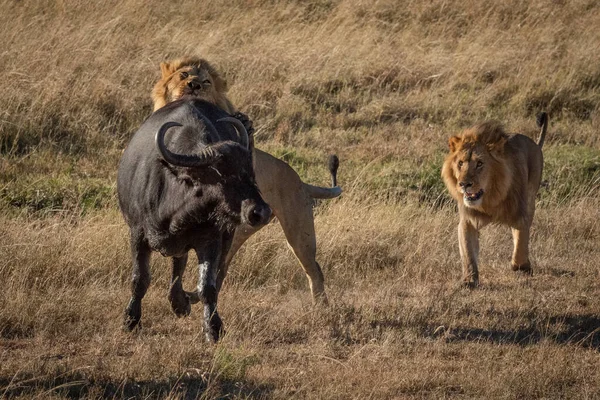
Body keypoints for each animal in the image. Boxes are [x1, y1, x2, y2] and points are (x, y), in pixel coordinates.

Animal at [118, 98, 272, 342]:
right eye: (223, 175)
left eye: (250, 173)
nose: (261, 212)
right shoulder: (137, 233)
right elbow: (140, 279)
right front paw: (131, 319)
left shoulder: (211, 238)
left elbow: (207, 286)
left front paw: (213, 328)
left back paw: (180, 303)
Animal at [151, 57, 342, 306]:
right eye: (183, 75)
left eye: (206, 82)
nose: (194, 85)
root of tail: (300, 181)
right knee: (221, 270)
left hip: (299, 231)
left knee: (314, 269)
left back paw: (321, 308)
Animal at [440, 114, 548, 286]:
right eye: (460, 163)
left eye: (479, 164)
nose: (464, 184)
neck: (490, 198)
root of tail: (534, 143)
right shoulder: (467, 221)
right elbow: (468, 253)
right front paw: (469, 280)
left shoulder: (520, 214)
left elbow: (521, 242)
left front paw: (521, 266)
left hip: (531, 197)